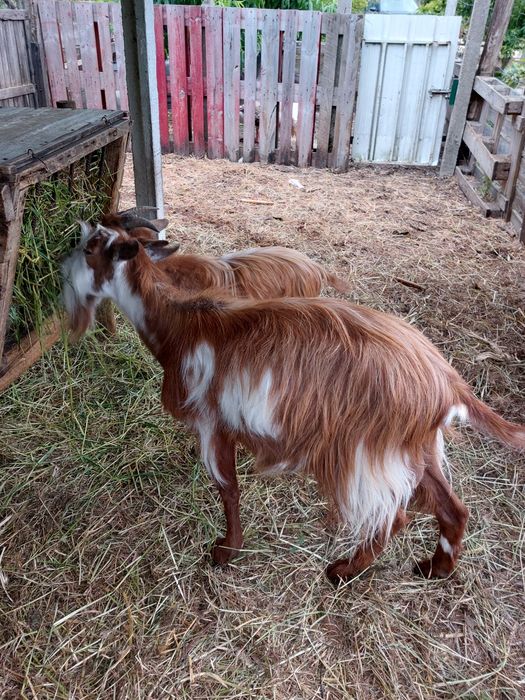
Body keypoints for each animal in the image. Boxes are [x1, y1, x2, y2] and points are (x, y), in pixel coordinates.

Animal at [62, 222, 525, 583]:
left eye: (89, 248)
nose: (62, 276)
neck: (183, 324)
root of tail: (446, 382)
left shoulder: (214, 423)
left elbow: (228, 489)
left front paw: (226, 551)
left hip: (364, 454)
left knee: (395, 515)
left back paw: (342, 571)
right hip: (415, 448)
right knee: (453, 508)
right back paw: (433, 569)